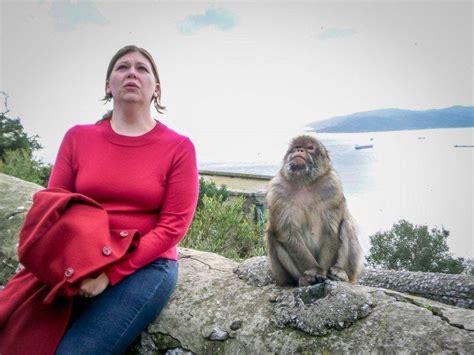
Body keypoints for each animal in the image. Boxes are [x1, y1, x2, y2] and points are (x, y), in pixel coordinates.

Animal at [266, 135, 362, 288]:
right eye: (296, 147)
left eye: (310, 148)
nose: (299, 150)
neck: (304, 183)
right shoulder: (277, 191)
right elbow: (287, 233)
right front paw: (315, 271)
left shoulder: (332, 186)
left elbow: (331, 230)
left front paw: (323, 273)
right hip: (281, 275)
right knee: (273, 235)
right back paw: (303, 279)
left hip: (353, 272)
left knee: (345, 225)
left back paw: (340, 272)